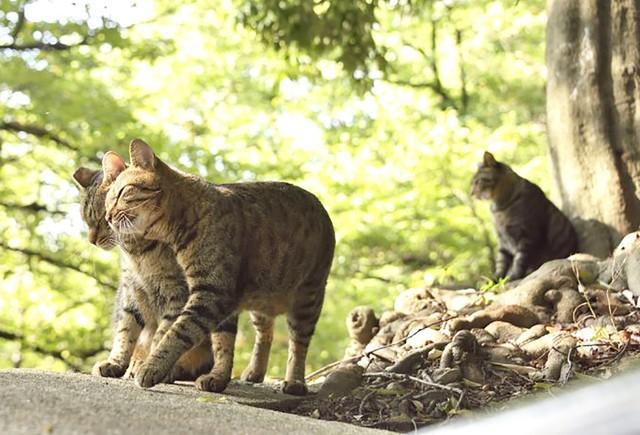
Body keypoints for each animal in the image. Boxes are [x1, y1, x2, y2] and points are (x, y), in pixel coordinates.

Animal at [102, 139, 336, 396]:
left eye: (122, 192)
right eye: (106, 201)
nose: (108, 216)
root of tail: (321, 205)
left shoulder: (211, 294)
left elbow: (177, 332)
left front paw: (151, 367)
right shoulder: (219, 298)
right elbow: (221, 343)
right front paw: (216, 376)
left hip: (308, 298)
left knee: (298, 343)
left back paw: (295, 381)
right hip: (259, 298)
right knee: (265, 332)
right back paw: (251, 372)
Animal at [470, 152, 580, 282]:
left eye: (477, 182)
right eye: (472, 183)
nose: (471, 193)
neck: (500, 207)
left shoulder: (527, 236)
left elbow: (520, 260)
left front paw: (513, 276)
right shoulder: (503, 241)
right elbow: (501, 263)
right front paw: (495, 280)